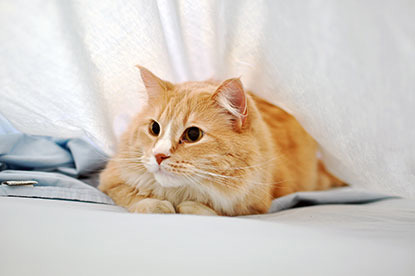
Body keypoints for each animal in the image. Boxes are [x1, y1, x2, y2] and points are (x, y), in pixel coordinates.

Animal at [98, 66, 344, 216]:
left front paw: (191, 206)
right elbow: (133, 197)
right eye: (154, 128)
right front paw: (156, 204)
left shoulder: (254, 203)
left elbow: (218, 210)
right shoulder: (111, 181)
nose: (159, 155)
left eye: (193, 135)